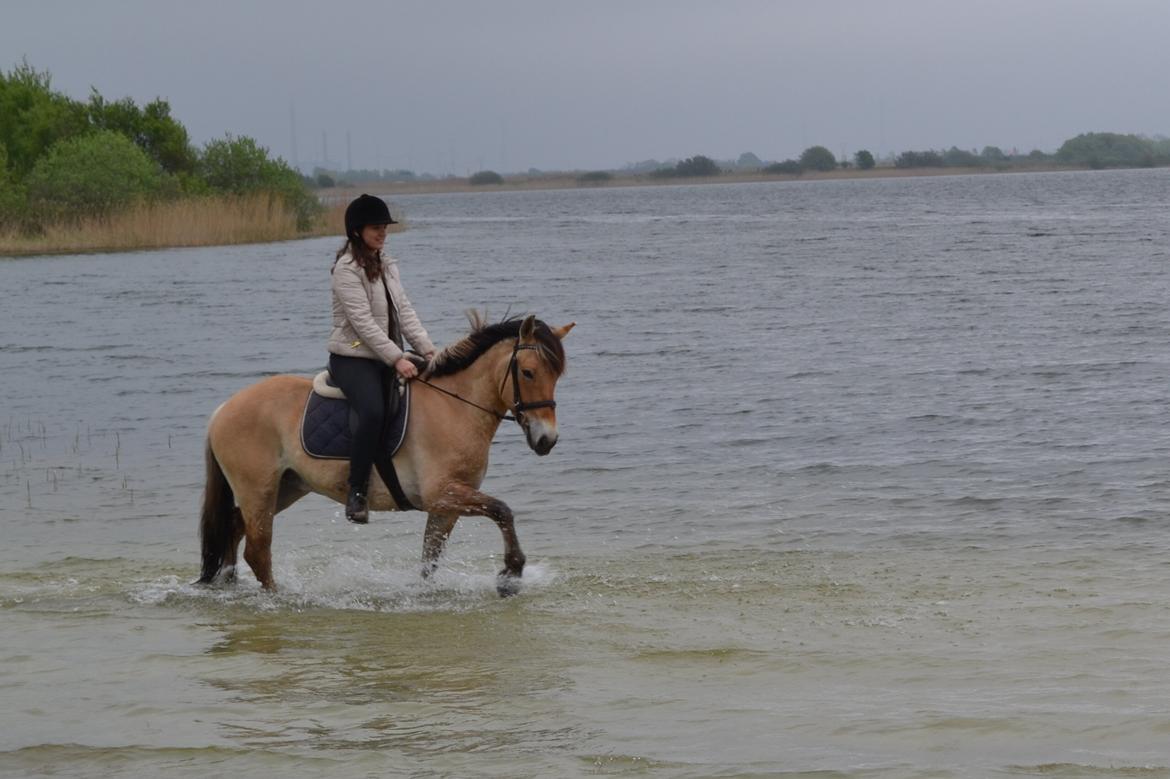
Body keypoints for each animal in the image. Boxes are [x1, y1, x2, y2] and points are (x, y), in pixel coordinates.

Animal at [198, 313, 573, 596]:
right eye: (528, 372)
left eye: (557, 374)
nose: (547, 440)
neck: (454, 406)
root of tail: (222, 410)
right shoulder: (444, 494)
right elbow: (502, 510)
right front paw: (511, 574)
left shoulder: (446, 506)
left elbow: (430, 558)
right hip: (258, 489)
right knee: (258, 550)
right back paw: (278, 599)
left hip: (287, 487)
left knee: (235, 527)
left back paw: (229, 585)